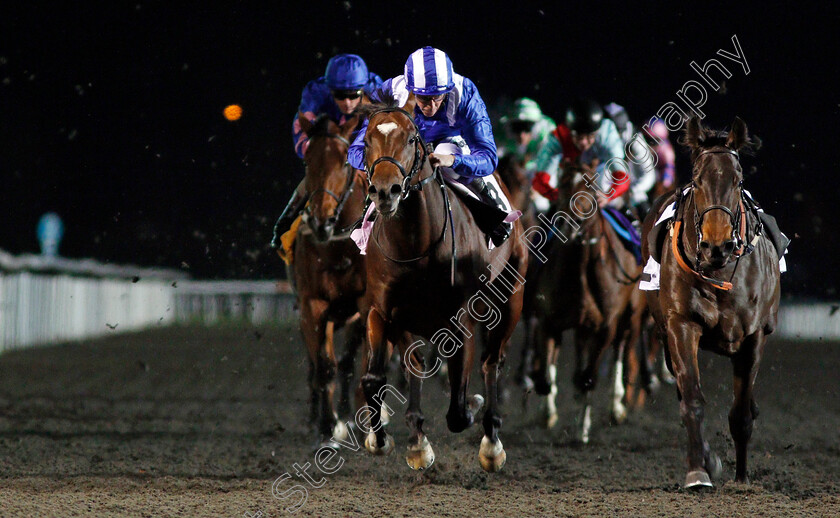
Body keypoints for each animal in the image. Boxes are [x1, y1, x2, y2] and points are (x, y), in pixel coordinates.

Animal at [360, 103, 524, 474]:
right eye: (367, 138)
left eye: (411, 138)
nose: (385, 191)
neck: (414, 244)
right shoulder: (381, 310)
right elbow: (373, 378)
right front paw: (381, 440)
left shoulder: (460, 319)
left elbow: (458, 411)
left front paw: (475, 407)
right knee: (415, 362)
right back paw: (417, 438)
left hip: (511, 299)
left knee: (492, 361)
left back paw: (491, 442)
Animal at [528, 165, 648, 440]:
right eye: (562, 183)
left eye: (590, 187)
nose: (570, 222)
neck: (580, 268)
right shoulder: (548, 322)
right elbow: (546, 378)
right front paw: (547, 414)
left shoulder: (606, 327)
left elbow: (590, 377)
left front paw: (582, 428)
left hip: (630, 317)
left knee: (619, 352)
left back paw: (616, 407)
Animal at [644, 116, 780, 490]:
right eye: (697, 178)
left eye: (738, 179)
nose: (716, 246)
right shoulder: (681, 326)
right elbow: (692, 398)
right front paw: (698, 471)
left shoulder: (753, 336)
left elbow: (742, 412)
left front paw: (743, 477)